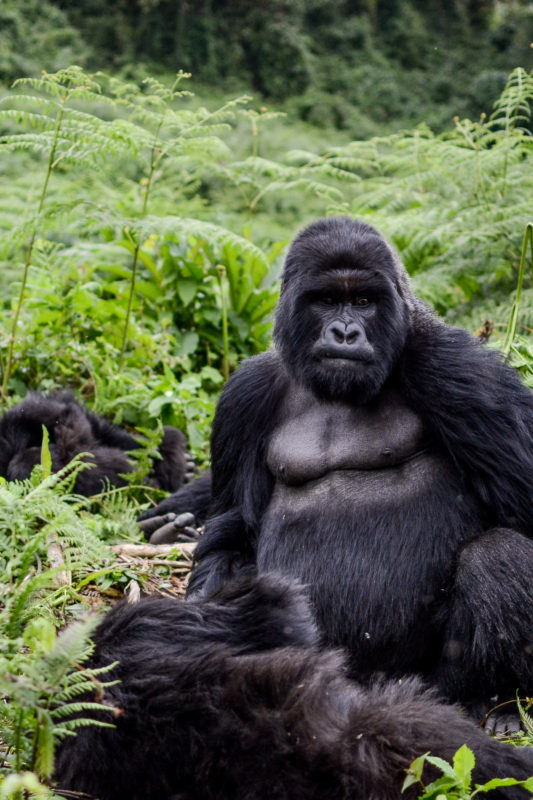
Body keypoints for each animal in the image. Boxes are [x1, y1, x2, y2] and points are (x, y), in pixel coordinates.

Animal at [175, 216, 532, 728]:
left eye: (363, 301)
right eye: (326, 300)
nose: (344, 332)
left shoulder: (456, 367)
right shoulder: (244, 395)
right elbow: (231, 531)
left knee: (497, 557)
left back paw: (494, 698)